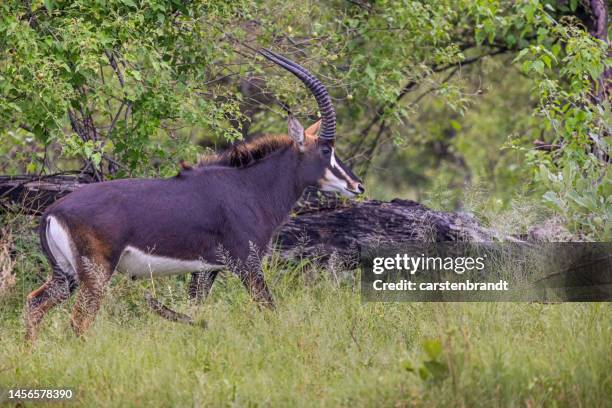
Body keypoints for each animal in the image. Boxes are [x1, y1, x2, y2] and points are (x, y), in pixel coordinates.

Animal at [25, 48, 364, 342]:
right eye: (326, 150)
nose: (357, 185)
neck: (249, 187)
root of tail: (53, 212)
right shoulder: (247, 264)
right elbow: (269, 309)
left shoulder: (207, 270)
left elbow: (194, 312)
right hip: (95, 274)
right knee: (78, 322)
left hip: (66, 276)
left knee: (34, 306)